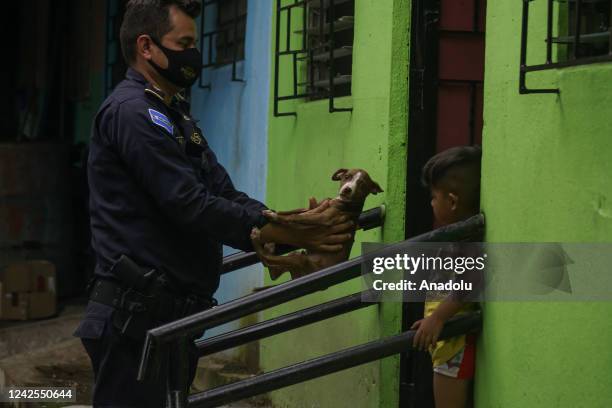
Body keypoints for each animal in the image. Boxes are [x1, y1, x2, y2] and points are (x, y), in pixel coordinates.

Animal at [251, 168, 380, 280]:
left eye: (362, 185)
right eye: (347, 177)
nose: (347, 189)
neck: (346, 203)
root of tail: (299, 276)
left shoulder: (323, 217)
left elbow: (295, 217)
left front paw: (274, 216)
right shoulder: (313, 208)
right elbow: (295, 212)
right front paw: (273, 213)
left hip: (300, 259)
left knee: (268, 262)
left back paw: (257, 238)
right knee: (274, 272)